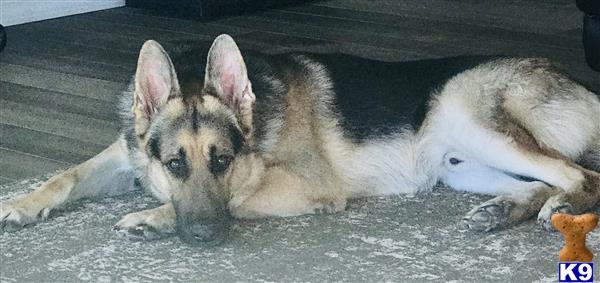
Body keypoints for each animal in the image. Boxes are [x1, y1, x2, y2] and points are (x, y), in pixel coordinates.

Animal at [1, 34, 600, 245]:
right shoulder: (125, 153)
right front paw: (23, 203)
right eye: (173, 164)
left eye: (222, 161)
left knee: (578, 174)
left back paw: (563, 206)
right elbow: (68, 174)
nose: (203, 239)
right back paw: (501, 211)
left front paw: (154, 217)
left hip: (465, 115)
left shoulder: (310, 185)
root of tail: (572, 78)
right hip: (458, 164)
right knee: (537, 182)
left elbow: (238, 198)